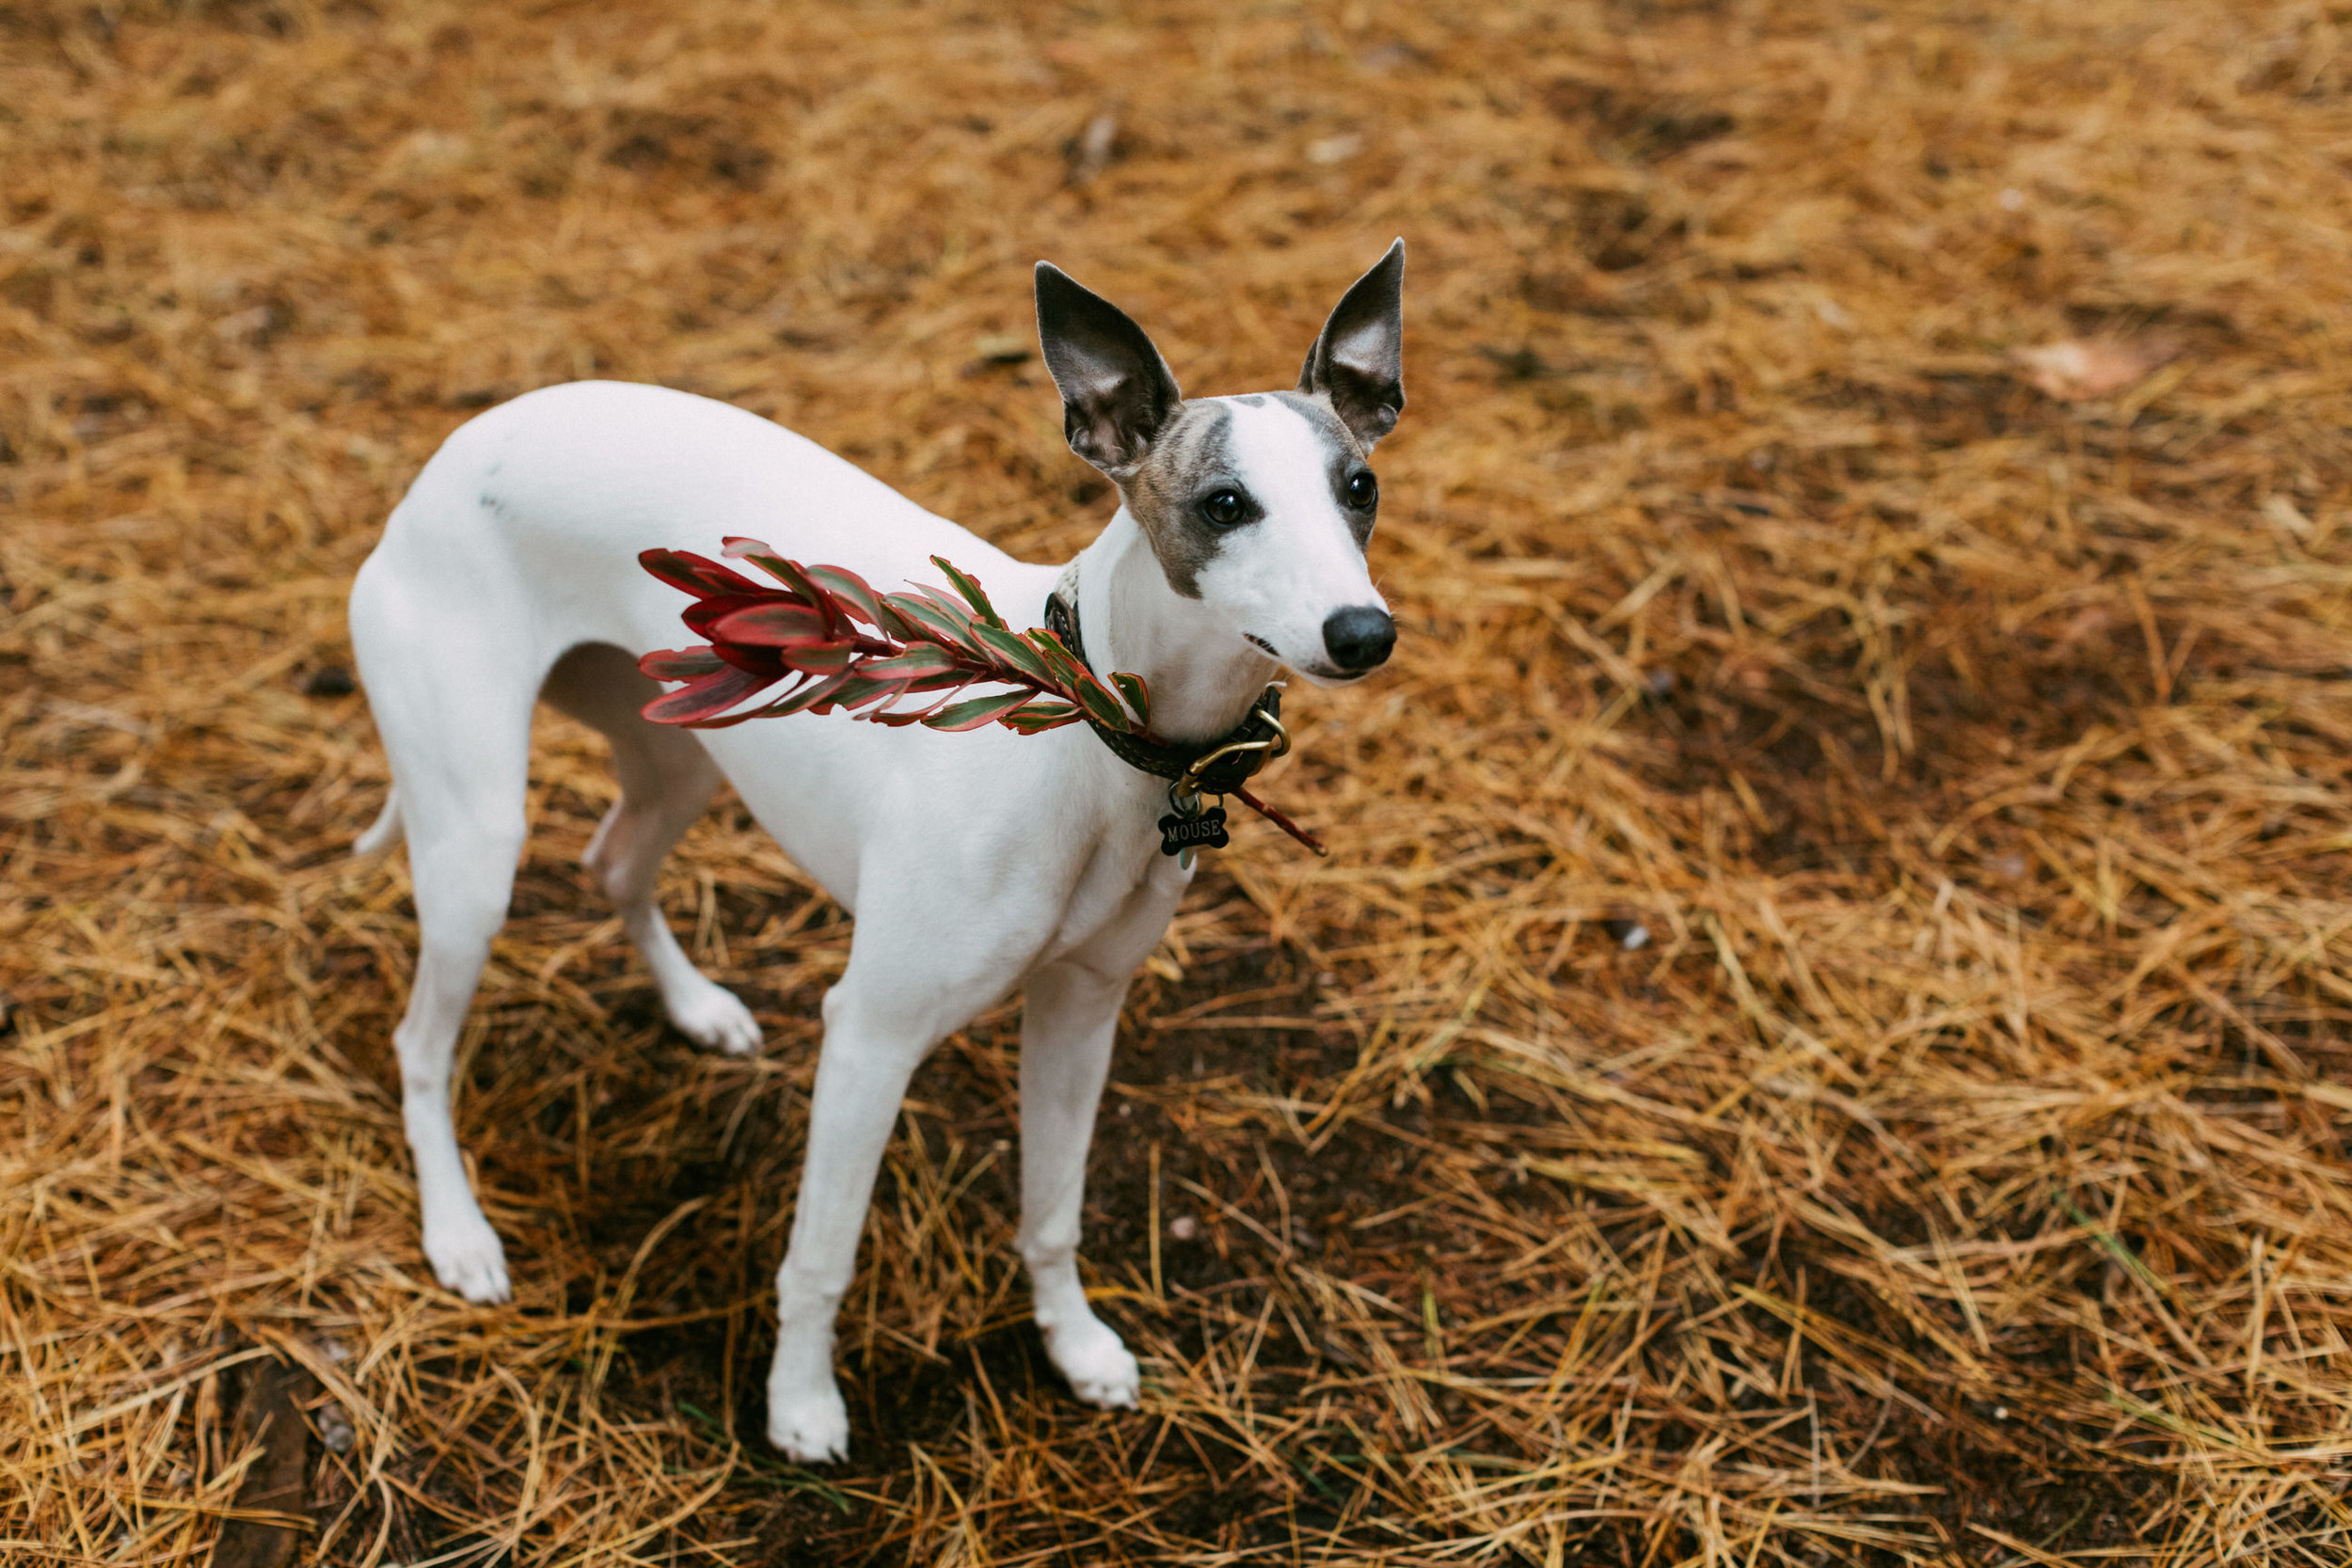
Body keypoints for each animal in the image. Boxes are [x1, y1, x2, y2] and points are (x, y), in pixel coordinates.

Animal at [348, 239, 1402, 1466]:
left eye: (1359, 488)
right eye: (1225, 503)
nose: (1363, 634)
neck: (1080, 726)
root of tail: (453, 452)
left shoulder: (1081, 1009)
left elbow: (1051, 1210)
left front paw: (1072, 1342)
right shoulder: (869, 1037)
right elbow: (822, 1254)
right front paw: (799, 1404)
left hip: (686, 751)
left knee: (613, 860)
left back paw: (697, 1005)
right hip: (476, 847)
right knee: (420, 1044)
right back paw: (459, 1232)